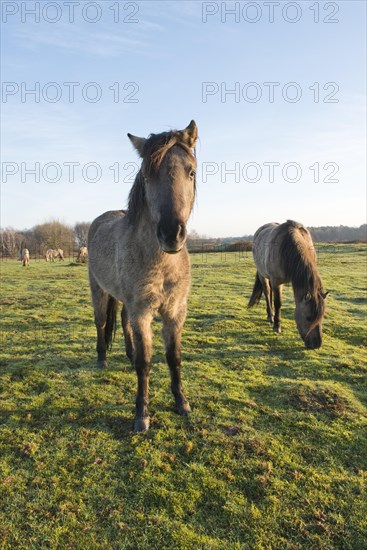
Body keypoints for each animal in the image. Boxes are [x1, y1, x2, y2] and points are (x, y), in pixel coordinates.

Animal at [87, 119, 198, 432]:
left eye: (191, 171)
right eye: (147, 177)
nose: (171, 234)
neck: (162, 264)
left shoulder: (175, 311)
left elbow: (174, 357)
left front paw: (181, 402)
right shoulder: (142, 312)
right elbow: (145, 361)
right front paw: (142, 415)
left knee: (123, 322)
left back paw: (126, 354)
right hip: (98, 291)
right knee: (102, 323)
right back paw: (102, 359)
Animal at [249, 220, 330, 350]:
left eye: (321, 317)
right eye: (308, 317)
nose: (316, 345)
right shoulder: (277, 281)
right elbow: (278, 303)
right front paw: (277, 327)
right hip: (263, 275)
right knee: (267, 293)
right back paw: (270, 316)